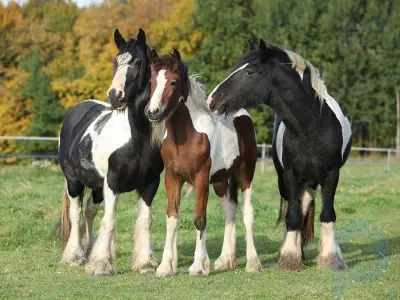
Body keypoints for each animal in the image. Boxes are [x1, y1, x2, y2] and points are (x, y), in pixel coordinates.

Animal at [58, 29, 164, 276]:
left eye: (137, 62)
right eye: (116, 61)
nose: (115, 95)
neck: (137, 140)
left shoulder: (150, 184)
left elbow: (145, 220)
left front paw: (145, 263)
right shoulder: (112, 183)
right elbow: (109, 220)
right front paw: (101, 265)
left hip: (96, 186)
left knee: (89, 211)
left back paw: (87, 251)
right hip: (73, 181)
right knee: (76, 213)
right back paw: (75, 256)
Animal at [144, 48, 262, 276]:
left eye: (173, 82)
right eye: (152, 81)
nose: (152, 112)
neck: (186, 137)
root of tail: (242, 114)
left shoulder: (201, 179)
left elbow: (199, 219)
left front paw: (198, 266)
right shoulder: (172, 179)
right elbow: (171, 219)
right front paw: (165, 267)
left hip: (245, 174)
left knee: (247, 213)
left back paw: (253, 262)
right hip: (221, 181)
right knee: (229, 212)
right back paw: (226, 260)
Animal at [208, 38, 352, 270]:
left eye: (249, 72)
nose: (212, 100)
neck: (311, 127)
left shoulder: (332, 175)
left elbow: (327, 214)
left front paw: (331, 258)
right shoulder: (290, 176)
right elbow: (292, 216)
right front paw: (290, 257)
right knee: (296, 209)